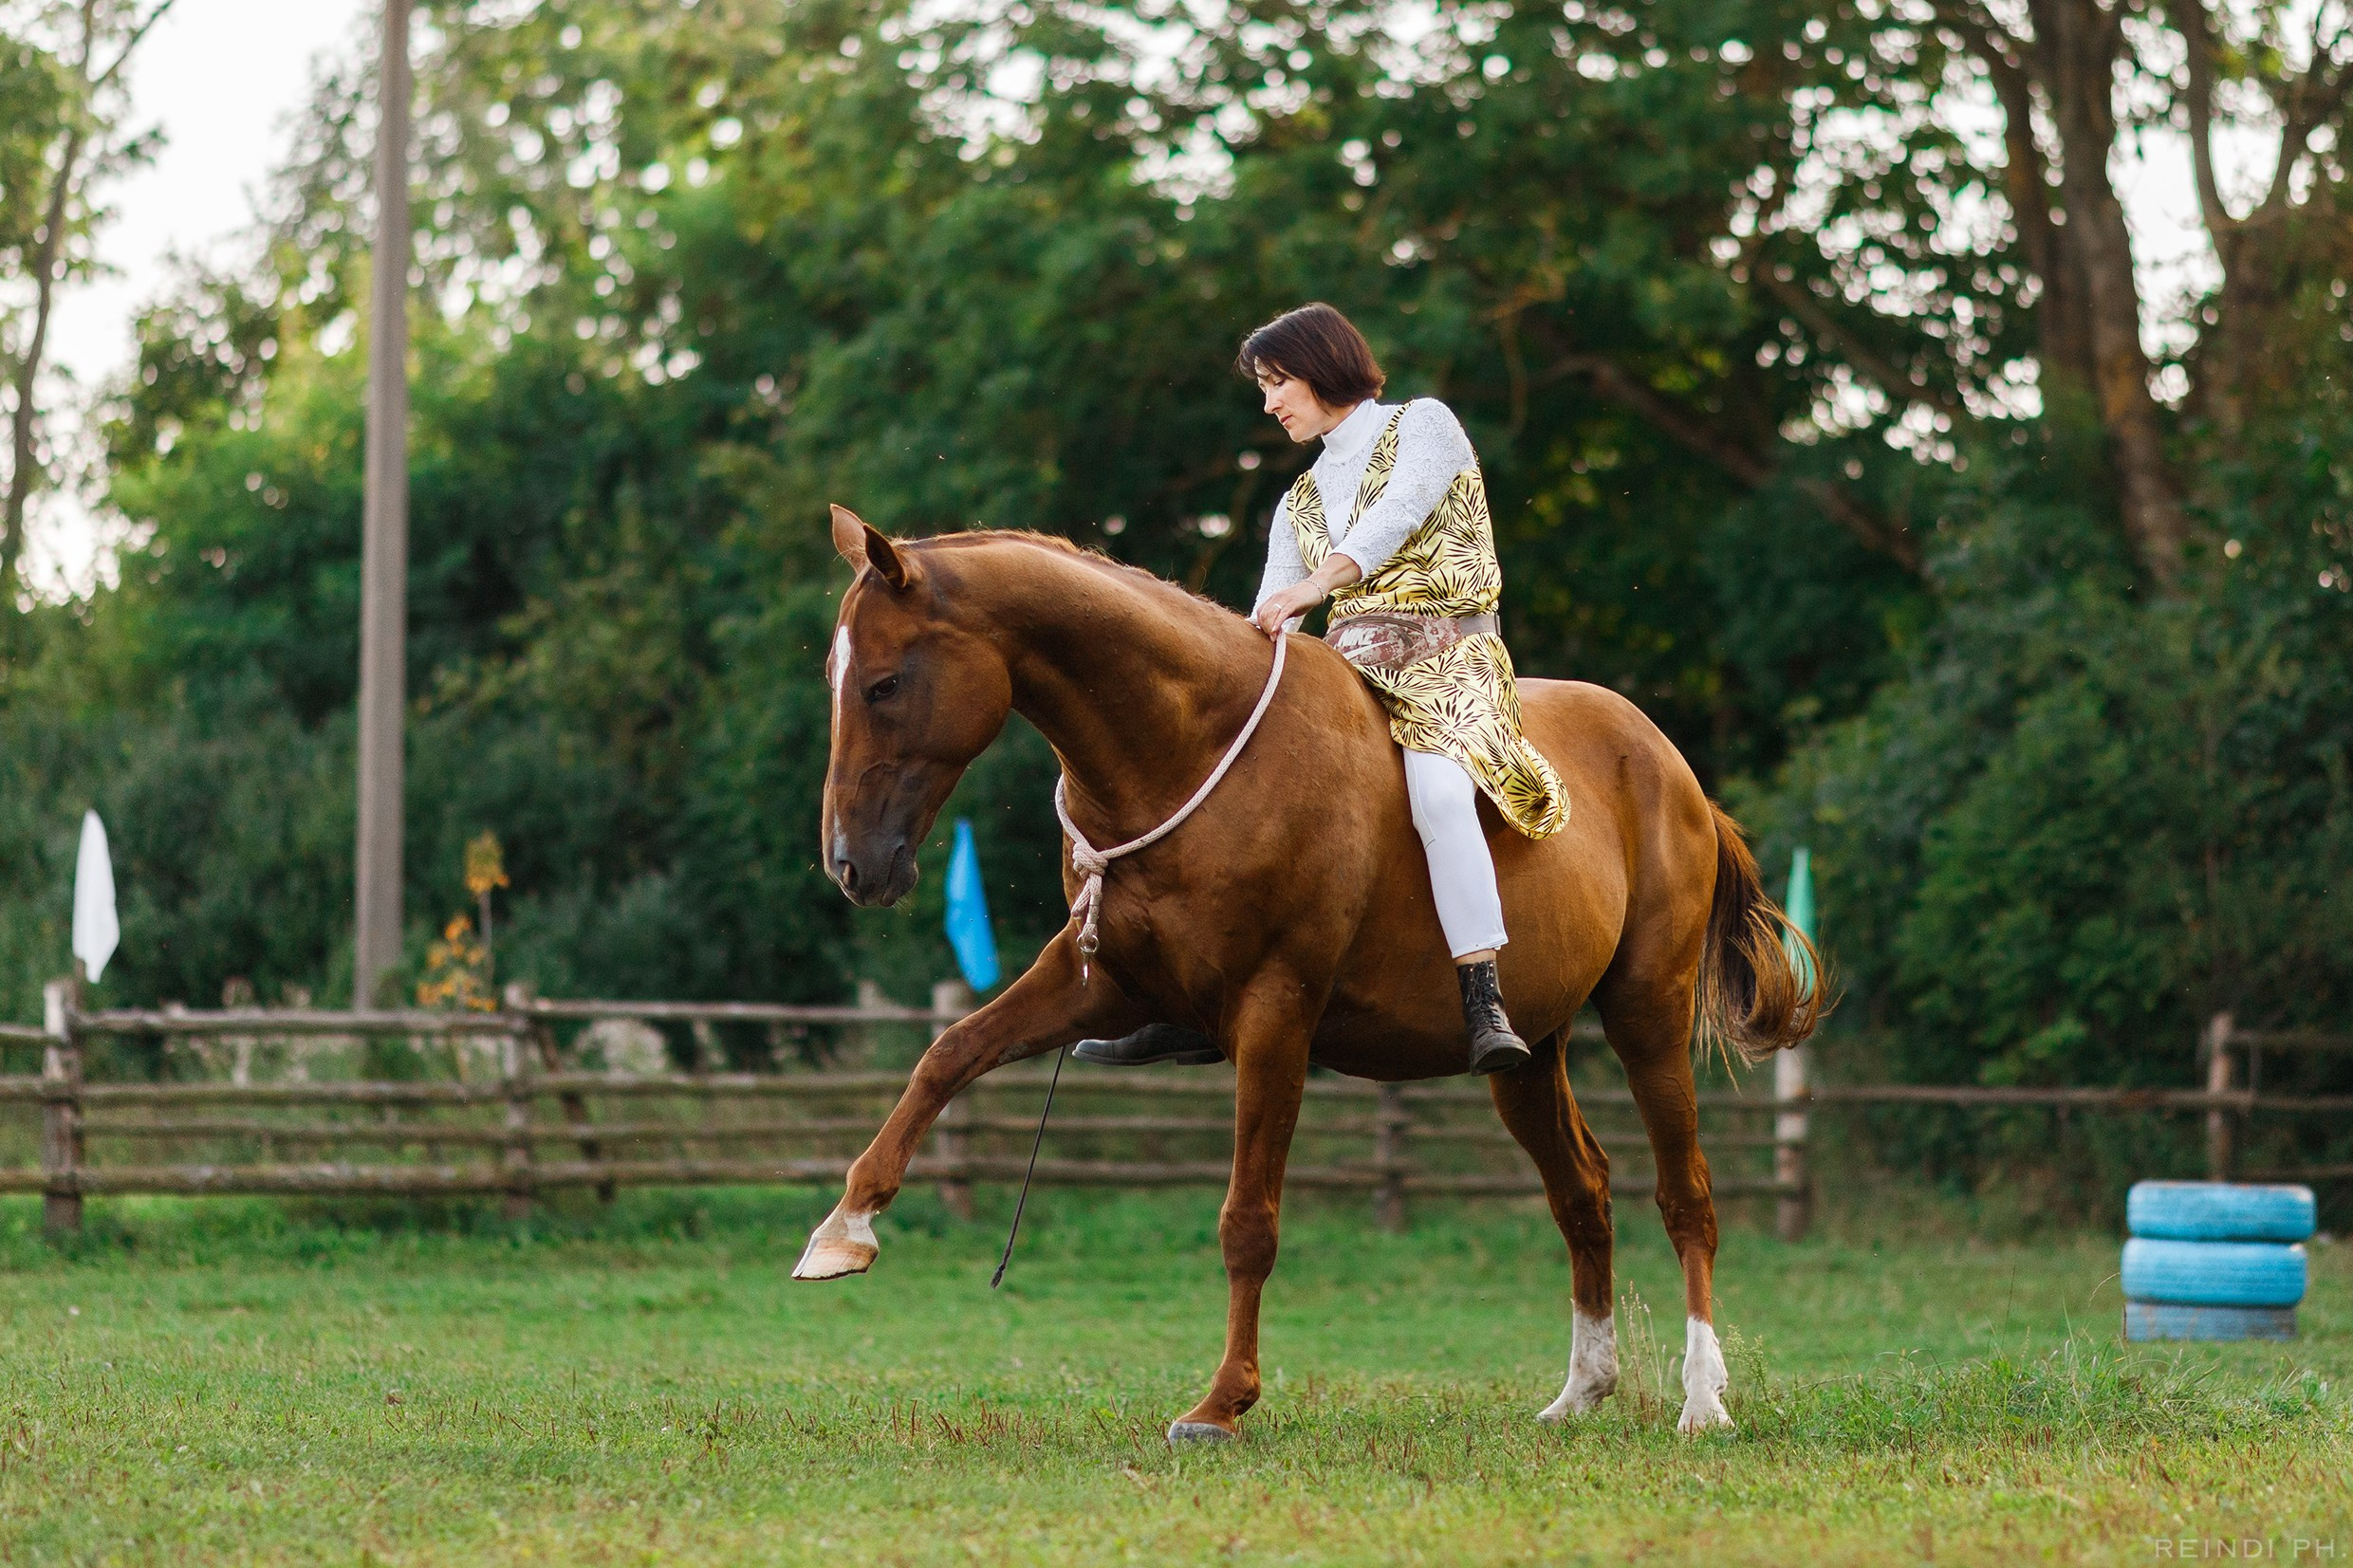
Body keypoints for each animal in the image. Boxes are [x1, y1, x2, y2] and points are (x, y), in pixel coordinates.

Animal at [797, 505, 1819, 1440]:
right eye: (835, 681)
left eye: (885, 683)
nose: (851, 865)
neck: (1187, 750)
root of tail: (1669, 766)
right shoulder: (1099, 982)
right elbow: (948, 1054)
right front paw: (844, 1227)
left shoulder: (1275, 1014)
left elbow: (1247, 1219)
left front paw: (1222, 1402)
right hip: (1527, 1058)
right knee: (1582, 1195)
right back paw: (1581, 1391)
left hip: (1648, 1013)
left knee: (1685, 1196)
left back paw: (1701, 1400)